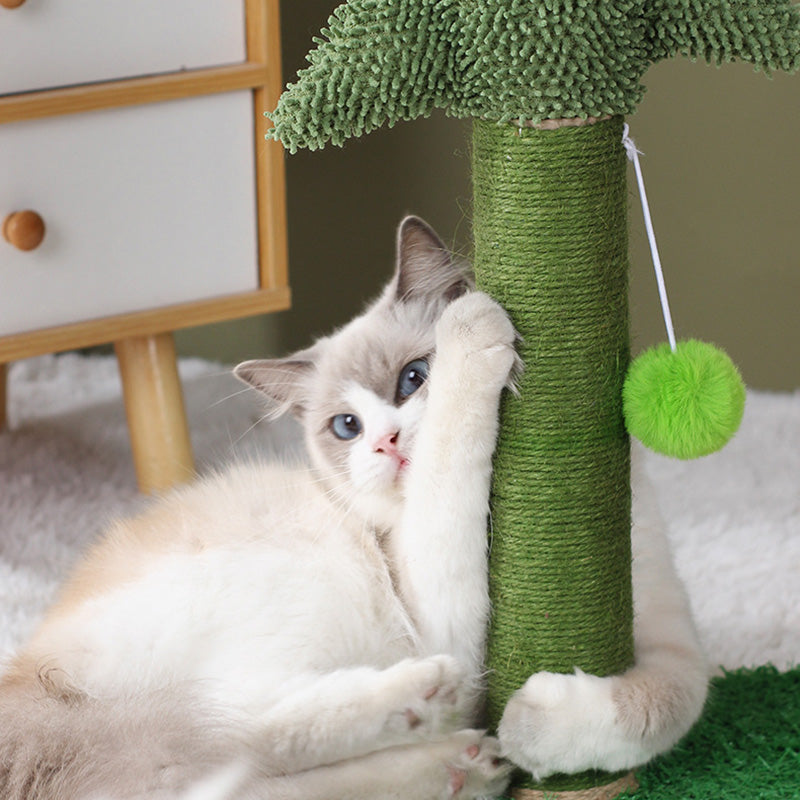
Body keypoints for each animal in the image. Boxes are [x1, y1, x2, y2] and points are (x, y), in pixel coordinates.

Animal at [3, 216, 708, 796]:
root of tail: (26, 684)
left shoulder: (671, 635)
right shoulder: (441, 615)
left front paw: (538, 730)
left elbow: (667, 706)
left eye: (412, 379)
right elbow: (453, 458)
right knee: (241, 721)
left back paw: (465, 767)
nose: (385, 443)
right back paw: (425, 702)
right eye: (346, 427)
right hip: (304, 590)